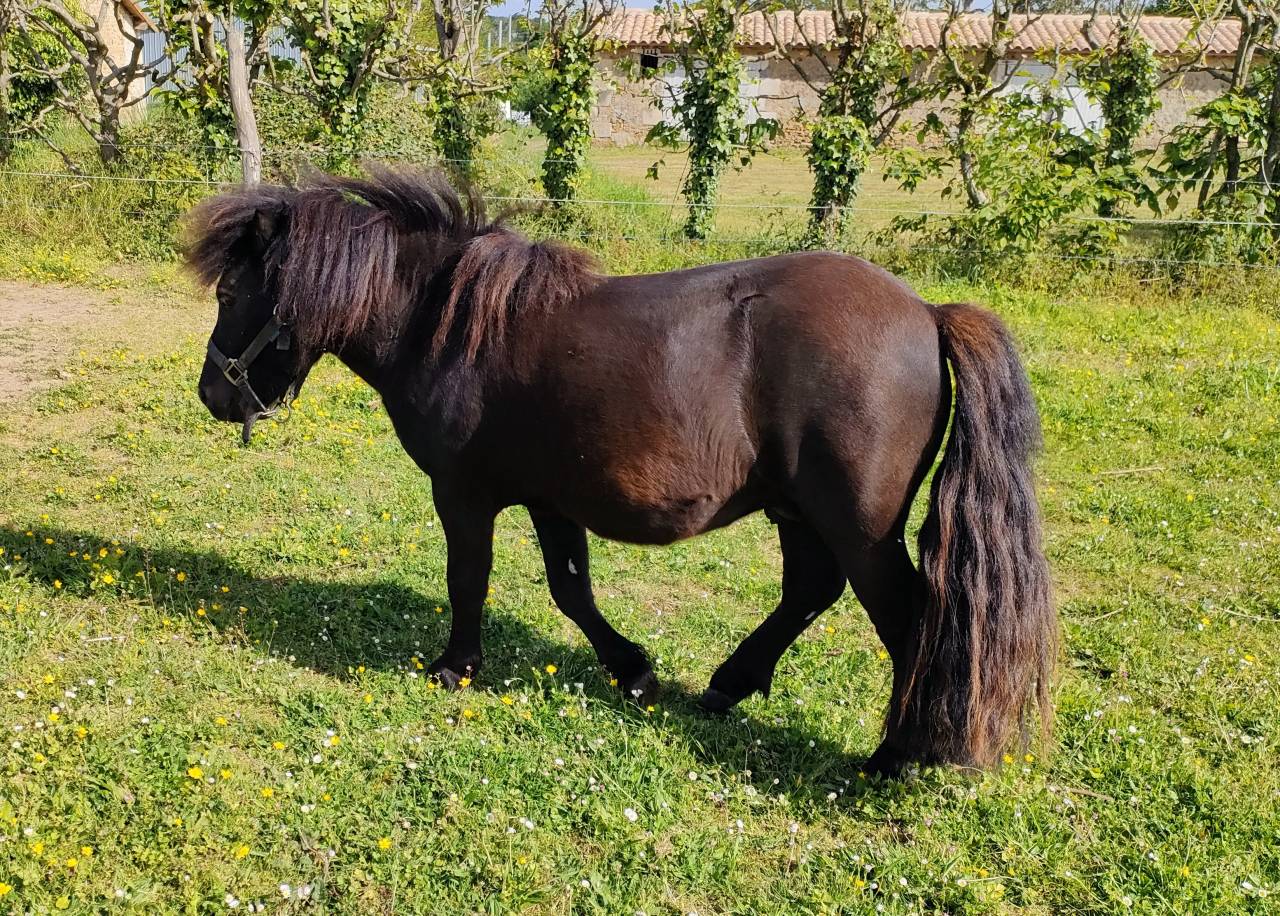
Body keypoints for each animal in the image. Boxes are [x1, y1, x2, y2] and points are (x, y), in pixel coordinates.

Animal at [187, 167, 1055, 776]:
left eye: (231, 289)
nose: (211, 396)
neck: (448, 323)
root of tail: (929, 314)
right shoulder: (548, 498)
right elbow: (572, 589)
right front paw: (633, 671)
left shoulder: (464, 494)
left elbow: (469, 579)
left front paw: (454, 667)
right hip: (799, 510)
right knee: (810, 591)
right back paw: (729, 685)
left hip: (860, 526)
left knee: (907, 616)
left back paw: (894, 755)